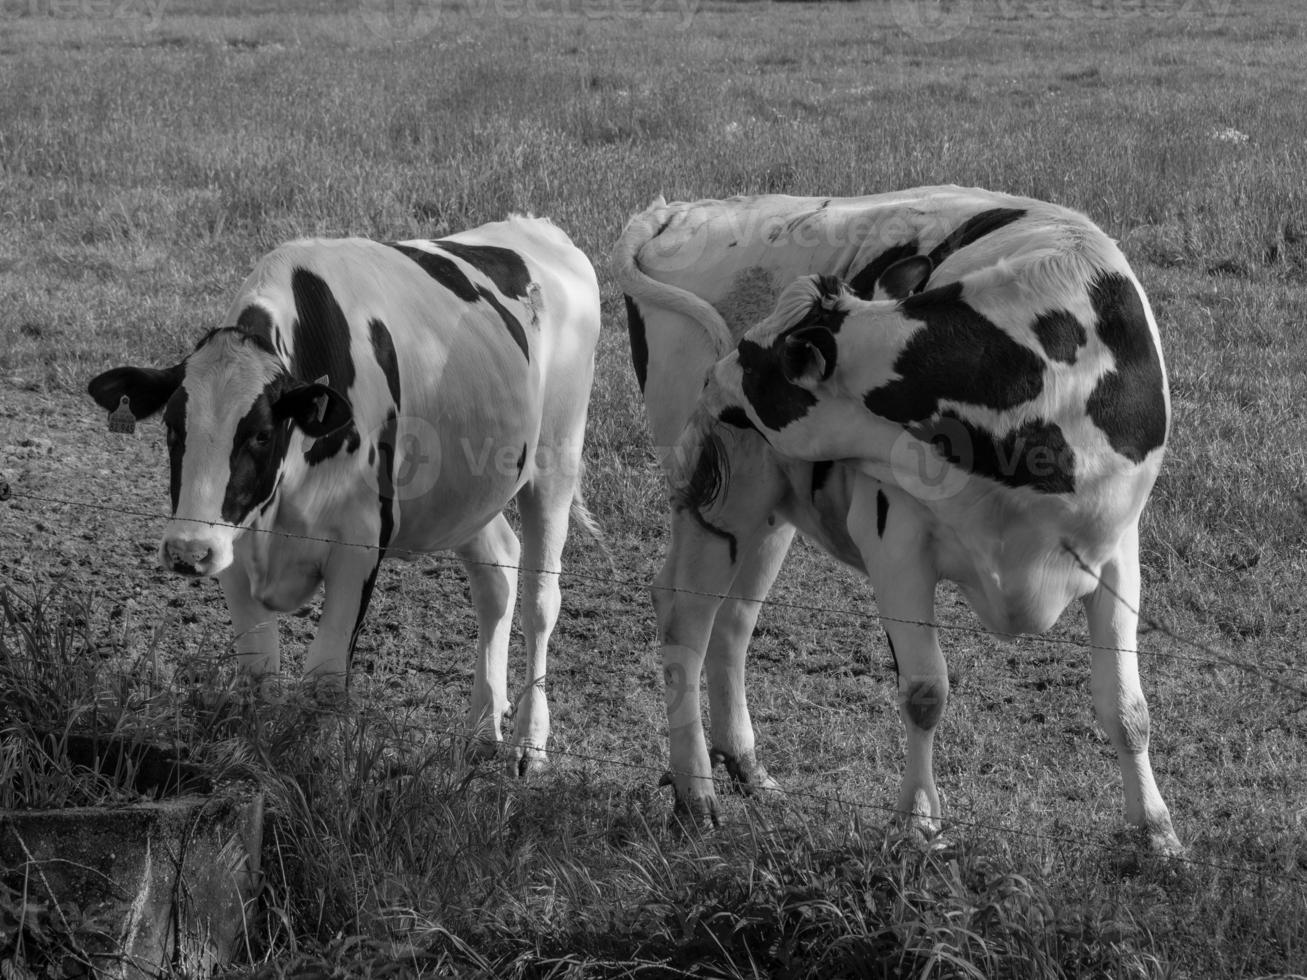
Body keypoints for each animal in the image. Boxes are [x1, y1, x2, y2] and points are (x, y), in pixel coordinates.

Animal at [90, 216, 601, 773]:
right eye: (171, 429)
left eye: (261, 435)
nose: (187, 550)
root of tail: (539, 228)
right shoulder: (234, 548)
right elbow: (260, 672)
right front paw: (252, 767)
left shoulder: (358, 546)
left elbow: (324, 680)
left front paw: (309, 772)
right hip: (470, 491)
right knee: (497, 576)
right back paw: (482, 729)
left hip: (556, 459)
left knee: (540, 599)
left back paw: (530, 743)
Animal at [614, 189, 1186, 851]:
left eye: (758, 361)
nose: (712, 378)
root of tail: (682, 210)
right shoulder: (895, 542)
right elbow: (924, 692)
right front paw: (917, 821)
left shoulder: (1116, 546)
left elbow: (1126, 706)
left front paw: (1156, 829)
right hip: (723, 499)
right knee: (687, 618)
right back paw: (695, 794)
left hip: (770, 509)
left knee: (733, 622)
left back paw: (748, 769)